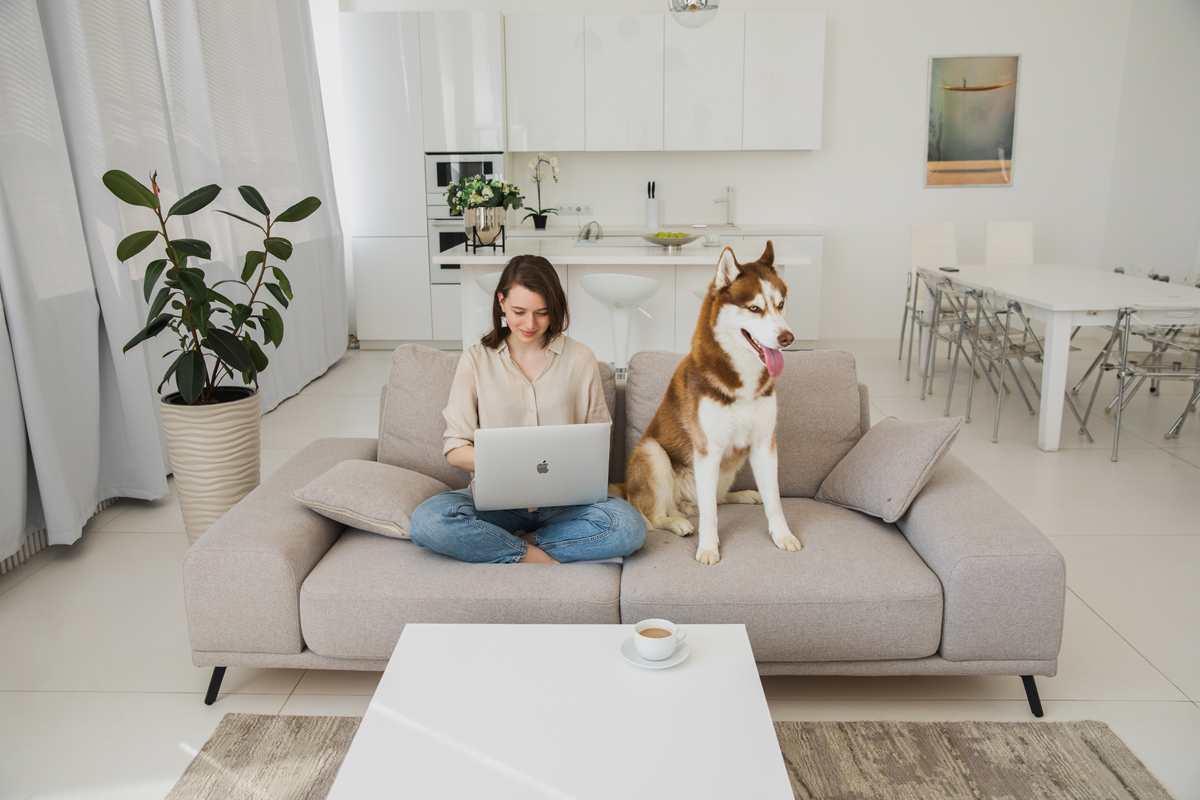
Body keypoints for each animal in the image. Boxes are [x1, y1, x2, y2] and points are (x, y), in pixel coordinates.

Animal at [624, 241, 801, 566]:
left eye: (780, 304)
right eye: (754, 308)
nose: (787, 337)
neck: (742, 381)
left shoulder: (764, 445)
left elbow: (774, 500)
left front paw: (782, 535)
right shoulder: (707, 450)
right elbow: (710, 514)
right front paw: (708, 547)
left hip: (728, 467)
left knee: (715, 498)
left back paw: (741, 495)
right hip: (653, 453)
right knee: (654, 516)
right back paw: (676, 522)